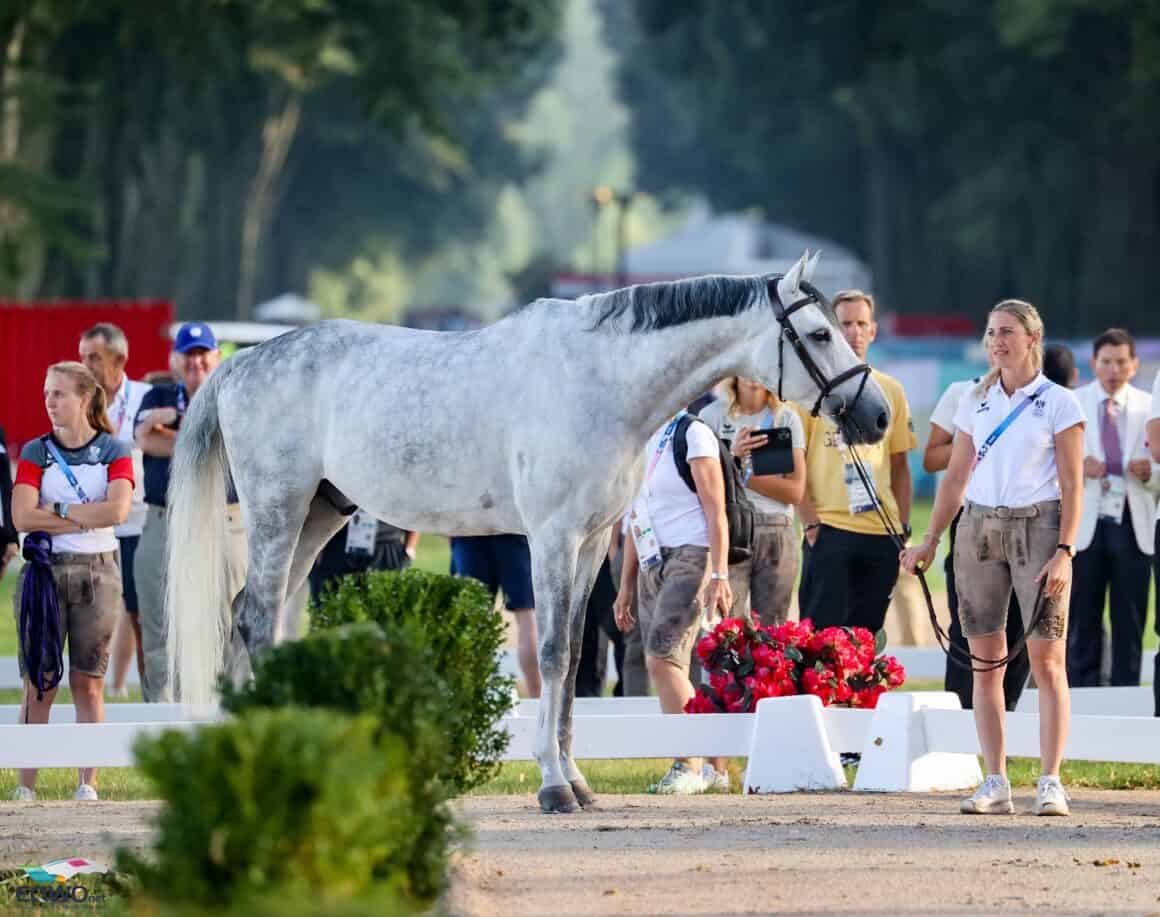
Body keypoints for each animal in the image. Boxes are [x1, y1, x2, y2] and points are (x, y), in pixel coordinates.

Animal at [165, 249, 886, 811]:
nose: (876, 415)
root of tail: (239, 364)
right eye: (819, 334)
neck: (602, 380)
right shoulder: (552, 537)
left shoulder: (591, 543)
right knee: (257, 618)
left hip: (318, 513)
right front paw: (553, 786)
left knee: (241, 615)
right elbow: (556, 654)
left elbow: (569, 664)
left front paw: (576, 780)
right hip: (278, 509)